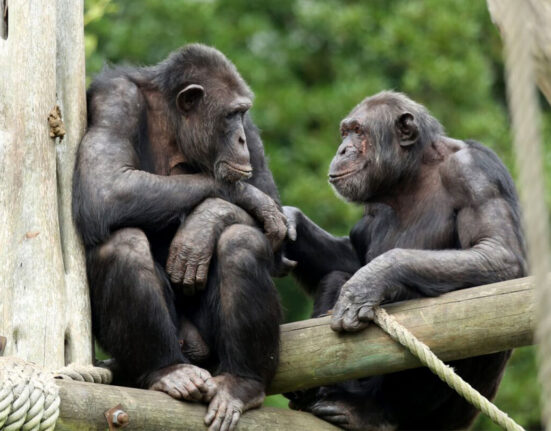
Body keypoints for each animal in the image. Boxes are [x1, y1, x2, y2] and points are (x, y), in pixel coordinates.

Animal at [72, 44, 288, 431]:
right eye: (230, 115)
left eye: (242, 114)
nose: (239, 138)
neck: (174, 122)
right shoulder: (115, 101)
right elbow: (105, 186)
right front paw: (245, 197)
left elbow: (277, 228)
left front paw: (205, 222)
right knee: (123, 244)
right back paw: (168, 370)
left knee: (241, 243)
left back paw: (241, 383)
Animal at [280, 92, 532, 431]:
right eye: (345, 132)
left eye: (358, 131)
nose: (343, 149)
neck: (410, 176)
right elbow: (350, 256)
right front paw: (289, 223)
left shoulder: (475, 172)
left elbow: (498, 251)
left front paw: (370, 281)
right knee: (335, 275)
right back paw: (312, 393)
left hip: (448, 417)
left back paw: (369, 412)